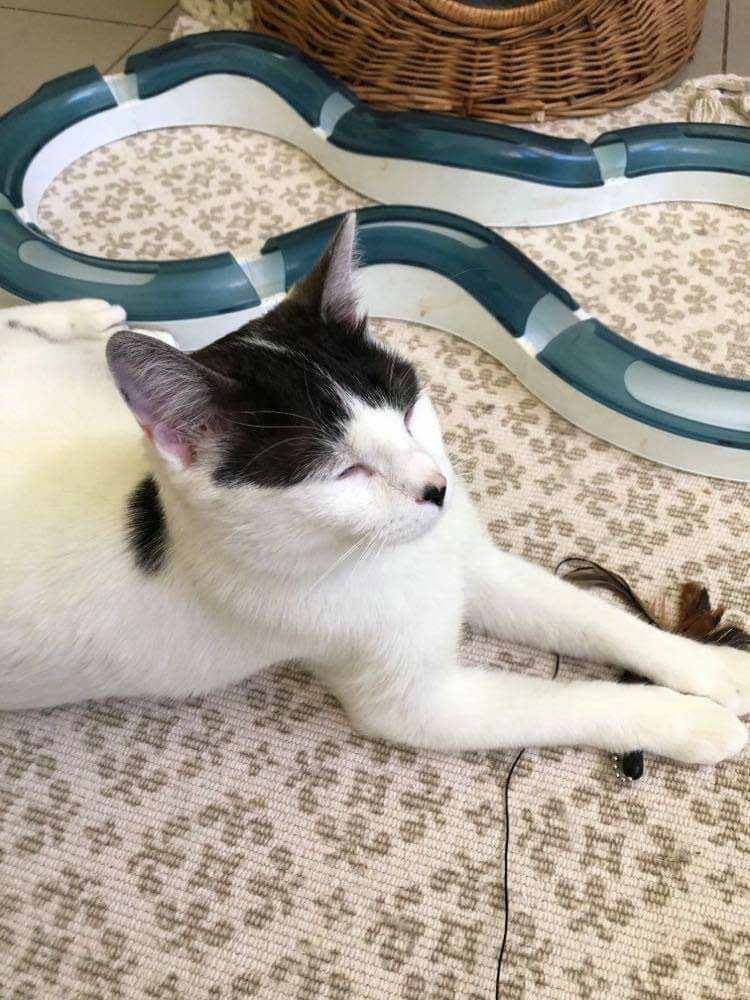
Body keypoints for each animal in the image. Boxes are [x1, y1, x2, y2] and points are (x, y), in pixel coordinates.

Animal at [1, 215, 748, 765]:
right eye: (345, 471)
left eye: (405, 409)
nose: (436, 488)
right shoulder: (420, 706)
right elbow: (567, 704)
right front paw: (684, 722)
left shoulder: (471, 562)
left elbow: (600, 620)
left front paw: (714, 670)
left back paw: (99, 317)